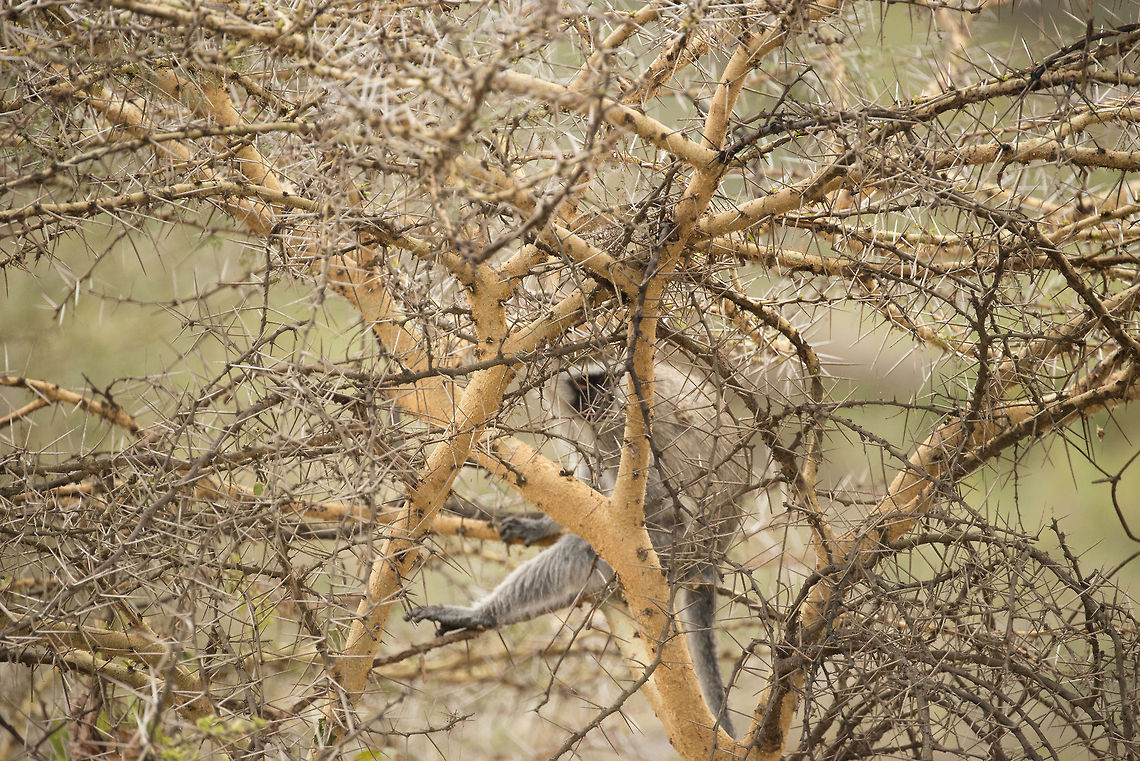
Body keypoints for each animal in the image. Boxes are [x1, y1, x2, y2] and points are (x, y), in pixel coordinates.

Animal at [406, 357, 754, 738]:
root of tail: (709, 557)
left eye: (605, 380)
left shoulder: (625, 427)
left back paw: (484, 614)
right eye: (585, 384)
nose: (601, 401)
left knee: (591, 548)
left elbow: (659, 499)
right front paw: (542, 524)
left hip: (669, 548)